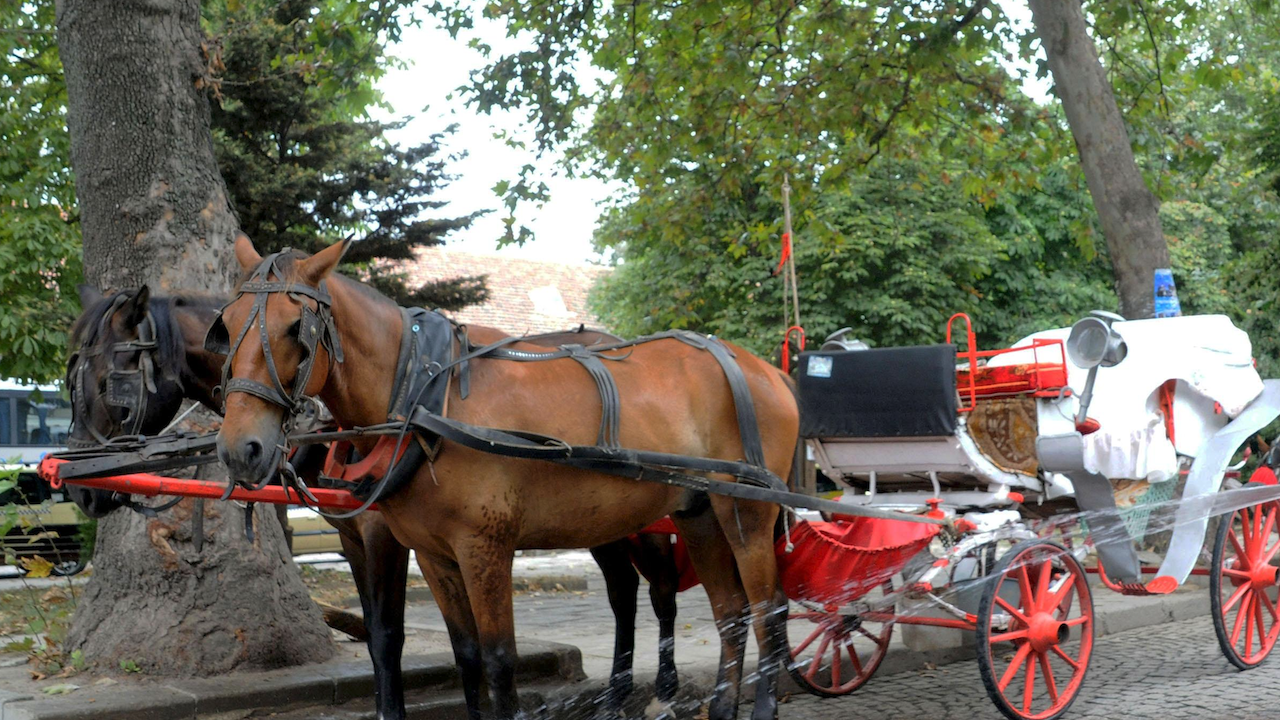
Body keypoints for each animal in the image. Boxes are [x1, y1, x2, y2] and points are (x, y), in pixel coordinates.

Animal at [215, 237, 793, 717]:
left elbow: (497, 660)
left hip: (744, 512)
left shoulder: (483, 547)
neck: (422, 394)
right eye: (227, 324)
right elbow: (467, 655)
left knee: (764, 608)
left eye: (295, 328)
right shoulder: (434, 553)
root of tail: (765, 369)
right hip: (698, 512)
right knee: (730, 612)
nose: (240, 449)